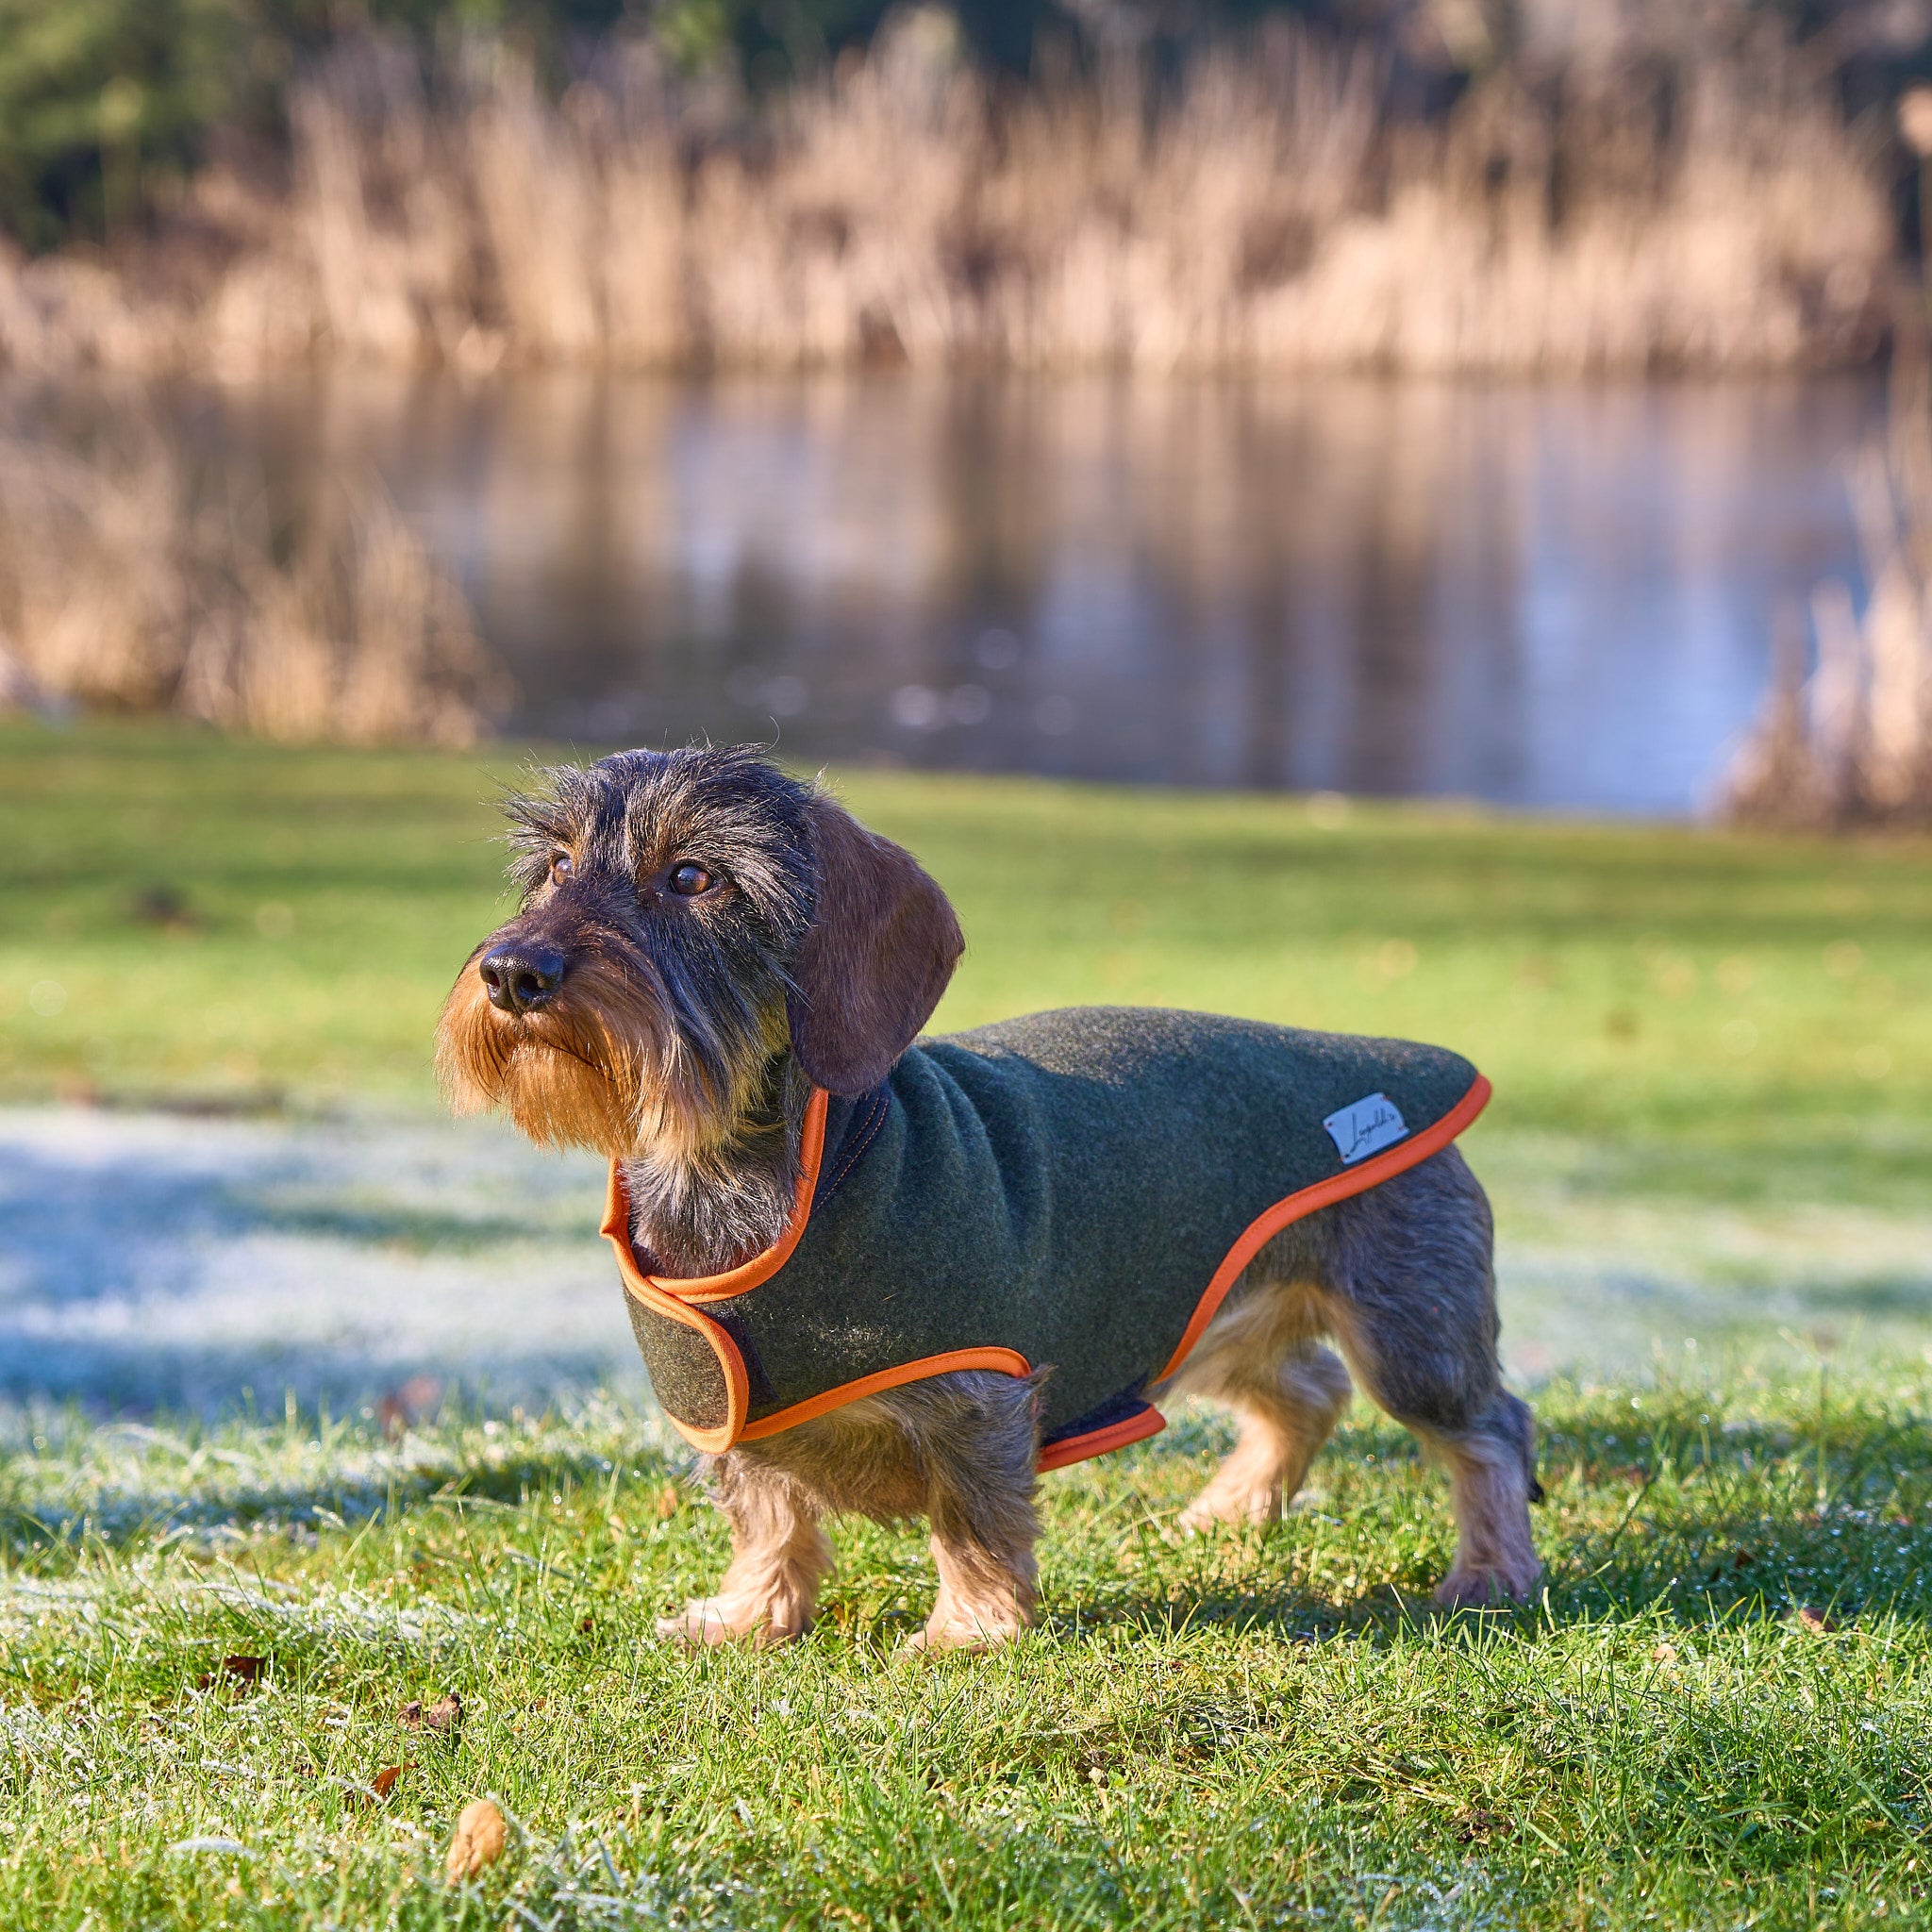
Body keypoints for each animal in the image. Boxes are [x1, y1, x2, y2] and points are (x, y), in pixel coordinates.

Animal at [438, 745, 1538, 1654]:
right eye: (555, 866)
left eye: (691, 875)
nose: (511, 970)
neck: (767, 1177)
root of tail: (1404, 1058)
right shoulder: (723, 1415)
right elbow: (768, 1517)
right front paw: (747, 1615)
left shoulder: (981, 1392)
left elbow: (970, 1519)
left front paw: (968, 1630)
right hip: (1201, 1304)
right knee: (1306, 1390)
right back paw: (1230, 1510)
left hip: (1410, 1328)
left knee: (1489, 1428)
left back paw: (1491, 1571)